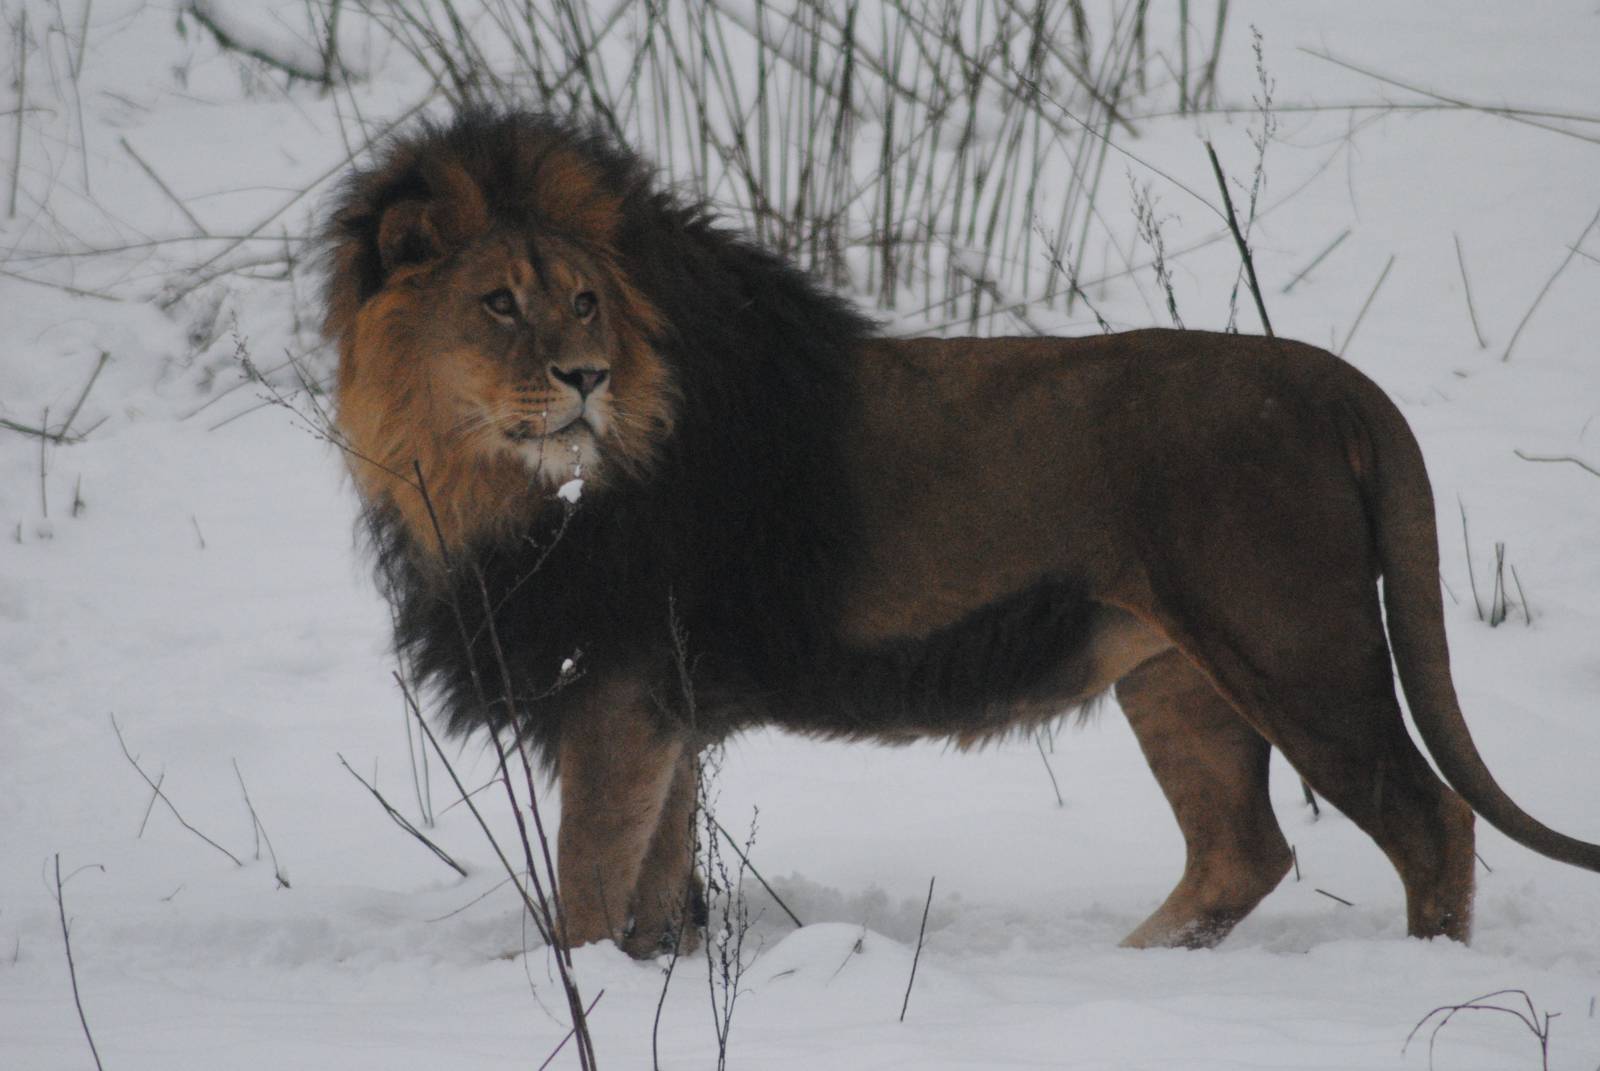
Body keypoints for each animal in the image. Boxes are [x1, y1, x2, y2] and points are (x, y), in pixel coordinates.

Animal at [323, 108, 1600, 959]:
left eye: (585, 301)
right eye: (499, 303)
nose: (585, 376)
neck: (490, 483)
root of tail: (1332, 380)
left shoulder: (618, 686)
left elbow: (589, 886)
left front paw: (575, 986)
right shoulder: (659, 699)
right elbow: (656, 881)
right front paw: (658, 981)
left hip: (1295, 651)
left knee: (1427, 819)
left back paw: (1419, 973)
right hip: (1175, 677)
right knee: (1241, 850)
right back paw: (1129, 975)